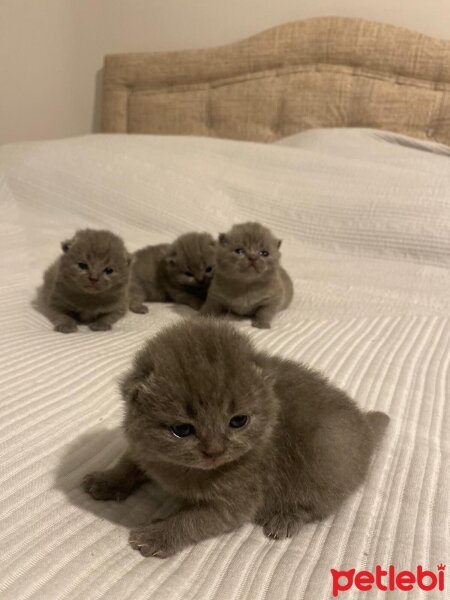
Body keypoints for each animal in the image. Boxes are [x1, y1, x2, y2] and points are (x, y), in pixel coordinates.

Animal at [82, 318, 388, 556]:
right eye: (182, 430)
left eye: (238, 421)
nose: (215, 450)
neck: (182, 469)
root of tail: (364, 424)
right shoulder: (142, 446)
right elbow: (130, 461)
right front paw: (107, 480)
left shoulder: (236, 500)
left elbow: (191, 520)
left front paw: (157, 535)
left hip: (325, 454)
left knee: (317, 503)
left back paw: (285, 518)